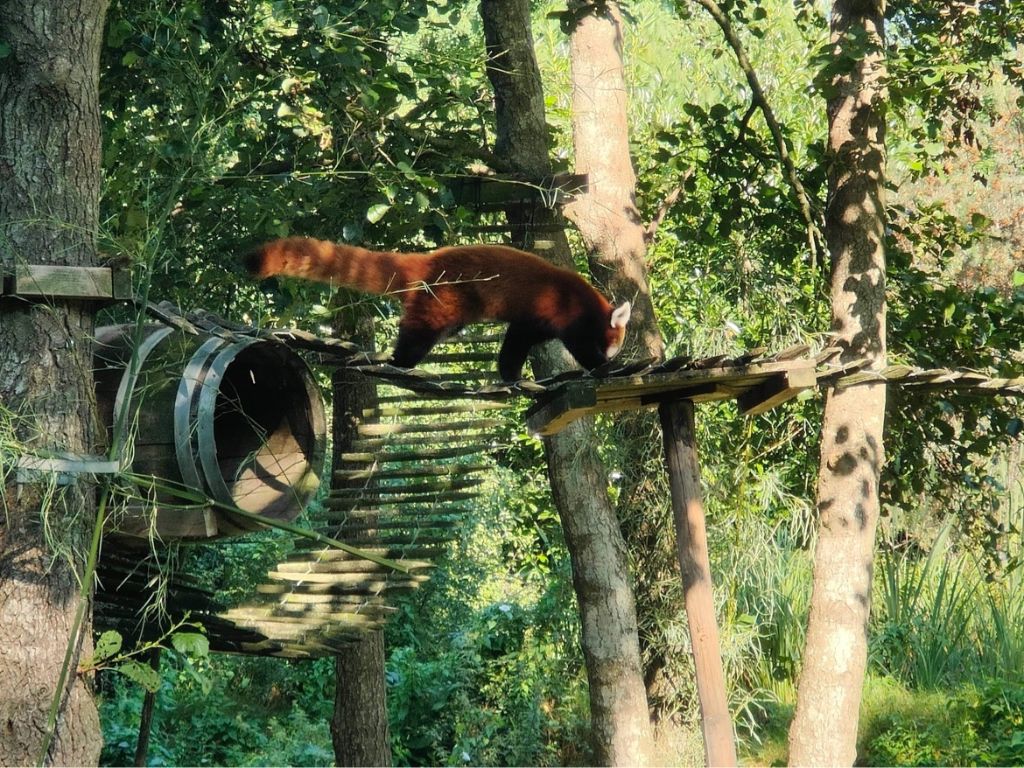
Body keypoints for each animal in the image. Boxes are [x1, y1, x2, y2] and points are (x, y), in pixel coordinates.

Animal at [247, 234, 630, 378]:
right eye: (616, 342)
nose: (613, 355)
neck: (592, 305)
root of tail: (428, 260)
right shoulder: (567, 314)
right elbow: (574, 346)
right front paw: (602, 366)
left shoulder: (534, 320)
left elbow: (517, 341)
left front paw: (509, 376)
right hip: (443, 299)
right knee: (418, 335)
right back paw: (397, 362)